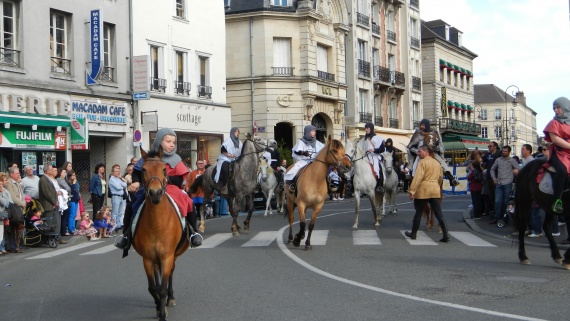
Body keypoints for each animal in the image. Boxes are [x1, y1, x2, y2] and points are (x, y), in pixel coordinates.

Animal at [131, 149, 189, 318]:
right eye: (143, 170)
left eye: (164, 169)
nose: (155, 193)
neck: (156, 224)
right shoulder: (148, 259)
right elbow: (153, 288)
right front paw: (158, 307)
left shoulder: (167, 256)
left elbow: (162, 288)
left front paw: (163, 311)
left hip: (172, 257)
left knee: (170, 273)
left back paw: (171, 298)